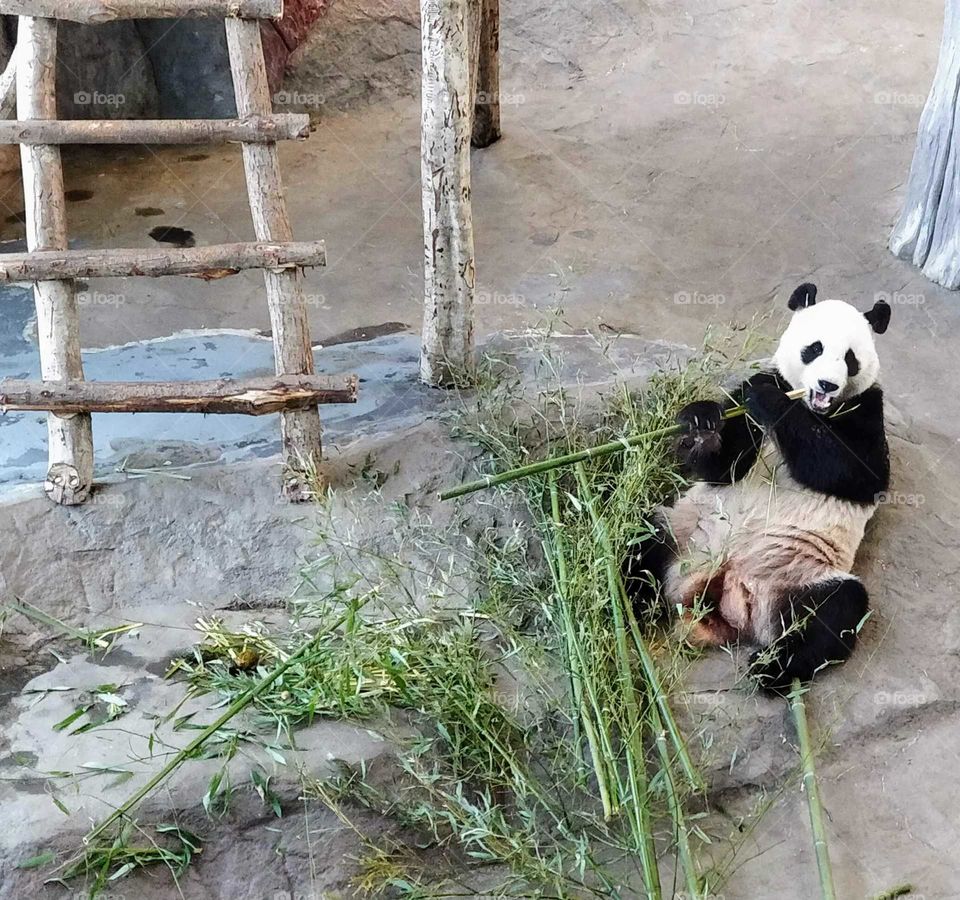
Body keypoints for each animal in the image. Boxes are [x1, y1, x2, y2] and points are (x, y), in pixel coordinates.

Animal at [625, 283, 892, 693]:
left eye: (849, 359)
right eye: (814, 348)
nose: (827, 385)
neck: (816, 409)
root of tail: (719, 599)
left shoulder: (866, 407)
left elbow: (860, 474)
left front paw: (772, 402)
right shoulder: (752, 387)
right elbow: (725, 468)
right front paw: (701, 425)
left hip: (796, 577)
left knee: (837, 609)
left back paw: (773, 668)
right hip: (684, 535)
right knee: (644, 538)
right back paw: (635, 610)